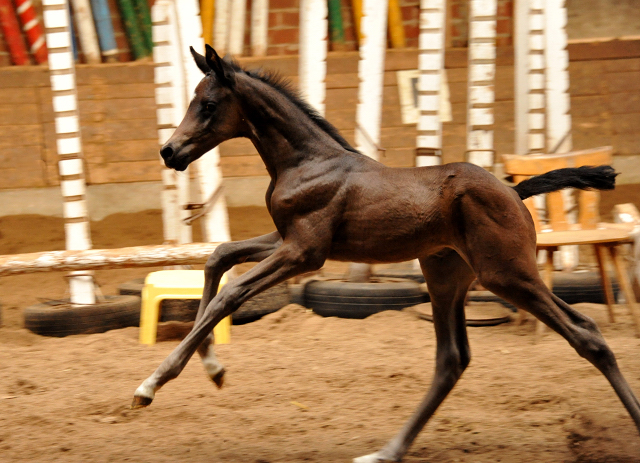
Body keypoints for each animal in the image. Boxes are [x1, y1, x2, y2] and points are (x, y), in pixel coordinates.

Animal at [131, 45, 640, 462]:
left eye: (209, 104)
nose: (169, 151)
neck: (307, 161)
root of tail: (515, 191)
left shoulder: (304, 252)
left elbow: (229, 294)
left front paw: (150, 384)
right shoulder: (288, 240)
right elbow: (219, 256)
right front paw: (214, 369)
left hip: (508, 274)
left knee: (587, 333)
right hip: (446, 276)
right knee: (452, 359)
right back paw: (386, 452)